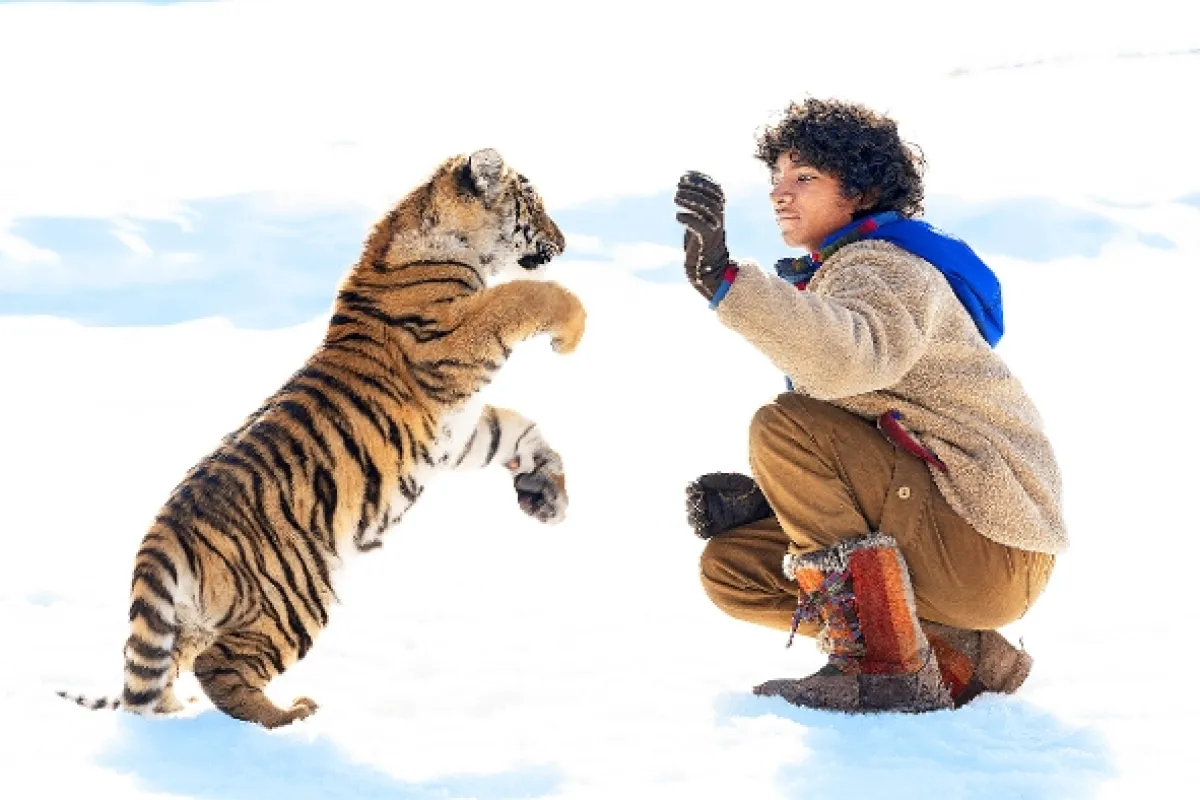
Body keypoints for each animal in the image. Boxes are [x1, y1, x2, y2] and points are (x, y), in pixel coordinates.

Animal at [58, 148, 586, 728]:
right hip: (293, 597)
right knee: (221, 668)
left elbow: (518, 431)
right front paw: (570, 334)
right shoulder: (453, 339)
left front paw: (546, 497)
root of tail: (161, 534)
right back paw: (289, 718)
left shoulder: (459, 433)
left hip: (196, 618)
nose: (564, 242)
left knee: (163, 675)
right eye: (533, 206)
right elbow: (527, 296)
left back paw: (179, 716)